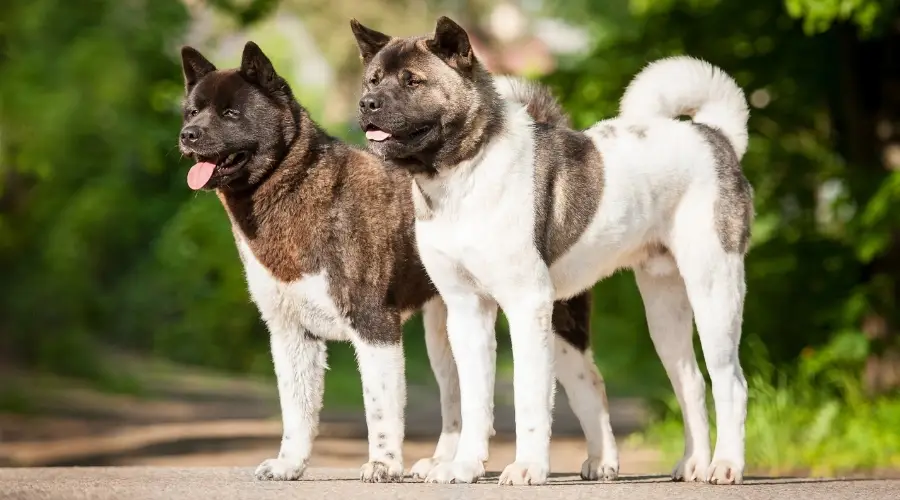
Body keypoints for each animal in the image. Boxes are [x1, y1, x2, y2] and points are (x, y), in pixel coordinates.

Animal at [176, 40, 612, 484]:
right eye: (192, 111)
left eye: (231, 113)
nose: (187, 135)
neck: (296, 188)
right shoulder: (290, 334)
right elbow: (296, 411)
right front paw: (289, 464)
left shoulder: (374, 325)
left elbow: (379, 407)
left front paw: (383, 465)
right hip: (445, 332)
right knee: (460, 399)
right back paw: (443, 462)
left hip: (554, 321)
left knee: (590, 382)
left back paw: (601, 461)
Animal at [352, 17, 752, 486]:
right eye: (373, 79)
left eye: (413, 81)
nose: (366, 103)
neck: (464, 172)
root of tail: (715, 137)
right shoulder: (467, 311)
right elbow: (473, 400)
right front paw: (464, 466)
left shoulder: (527, 306)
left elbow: (529, 396)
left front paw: (527, 467)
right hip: (664, 310)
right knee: (690, 382)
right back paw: (693, 463)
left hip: (714, 293)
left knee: (730, 382)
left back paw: (725, 465)